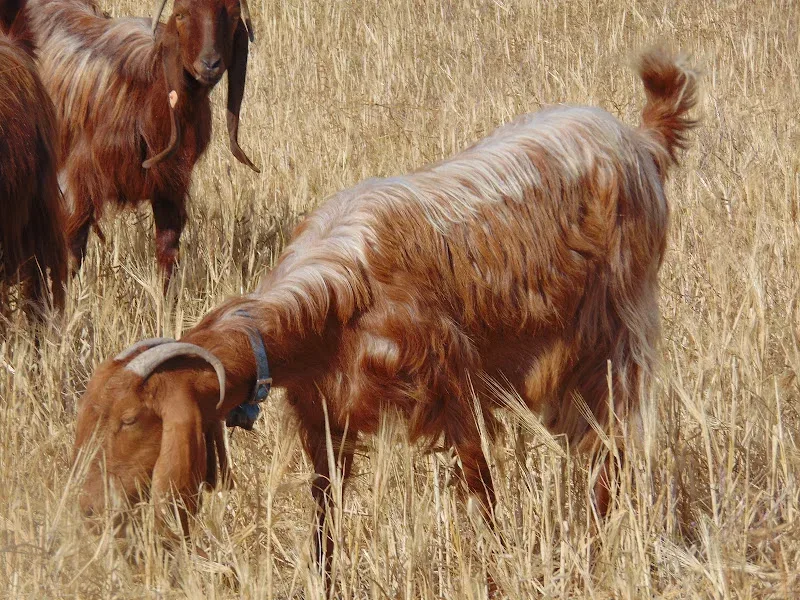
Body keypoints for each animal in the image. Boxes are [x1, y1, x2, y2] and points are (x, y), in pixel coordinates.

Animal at [19, 0, 258, 285]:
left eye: (233, 16)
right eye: (180, 14)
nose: (210, 64)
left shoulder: (171, 185)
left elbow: (167, 252)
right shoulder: (76, 181)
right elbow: (71, 250)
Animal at [74, 48, 698, 582]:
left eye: (132, 420)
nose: (88, 508)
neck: (338, 299)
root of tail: (640, 139)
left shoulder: (453, 387)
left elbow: (481, 487)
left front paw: (501, 566)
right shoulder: (324, 417)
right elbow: (325, 514)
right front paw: (324, 579)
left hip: (618, 333)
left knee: (614, 443)